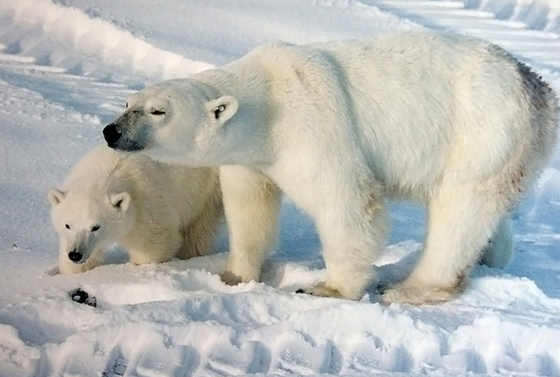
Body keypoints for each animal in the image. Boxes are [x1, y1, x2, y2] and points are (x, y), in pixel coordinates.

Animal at [104, 30, 556, 304]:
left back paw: (411, 287)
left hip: (483, 132)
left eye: (158, 111)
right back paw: (491, 254)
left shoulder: (311, 127)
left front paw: (330, 288)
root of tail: (540, 90)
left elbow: (347, 203)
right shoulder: (252, 158)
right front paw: (232, 276)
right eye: (128, 102)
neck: (267, 98)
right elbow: (249, 208)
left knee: (459, 212)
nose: (111, 131)